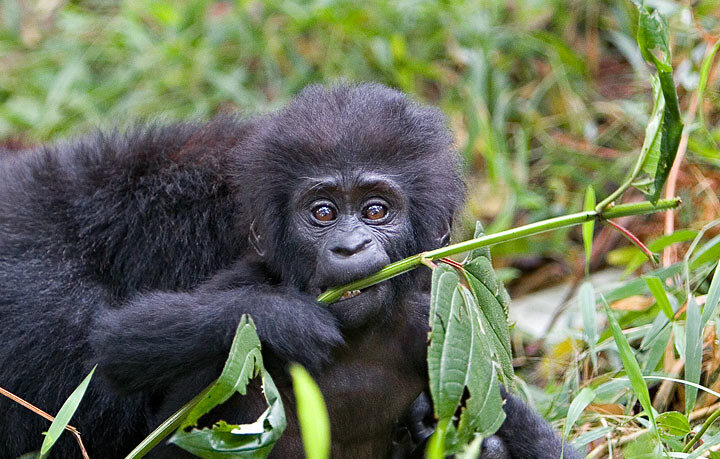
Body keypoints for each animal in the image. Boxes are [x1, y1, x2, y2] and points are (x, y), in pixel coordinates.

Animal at [0, 84, 576, 458]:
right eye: (322, 213)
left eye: (376, 211)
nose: (349, 246)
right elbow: (119, 343)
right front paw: (284, 319)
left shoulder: (439, 329)